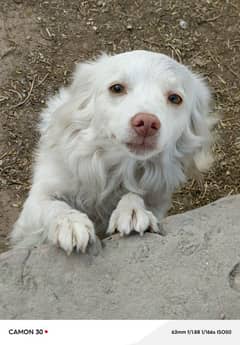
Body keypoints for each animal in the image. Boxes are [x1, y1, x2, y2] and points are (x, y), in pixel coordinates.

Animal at [10, 50, 214, 253]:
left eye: (175, 98)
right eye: (117, 88)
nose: (147, 123)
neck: (115, 169)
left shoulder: (157, 203)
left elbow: (134, 195)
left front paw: (132, 210)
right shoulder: (34, 205)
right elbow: (53, 204)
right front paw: (69, 222)